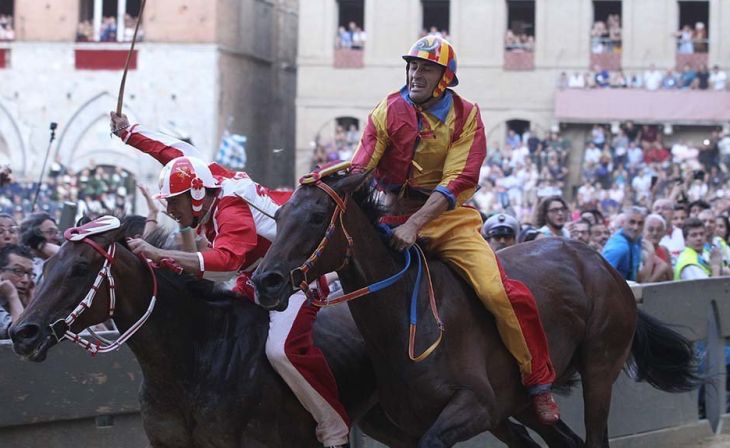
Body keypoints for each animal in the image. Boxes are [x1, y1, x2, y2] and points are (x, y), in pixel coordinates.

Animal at [252, 172, 700, 448]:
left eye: (316, 216)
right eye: (278, 213)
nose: (264, 280)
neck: (411, 320)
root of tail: (601, 265)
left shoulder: (474, 405)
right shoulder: (413, 424)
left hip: (600, 366)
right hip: (522, 404)